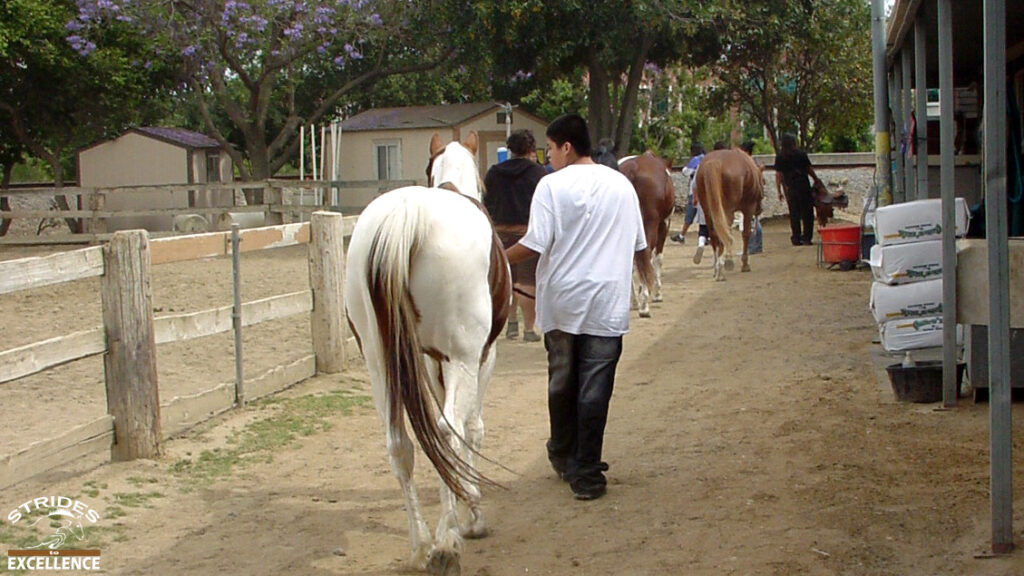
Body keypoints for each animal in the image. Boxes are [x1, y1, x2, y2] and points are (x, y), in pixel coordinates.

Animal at [342, 131, 509, 573]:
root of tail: (406, 214)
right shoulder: (480, 358)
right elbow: (472, 428)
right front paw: (472, 513)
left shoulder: (434, 361)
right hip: (463, 358)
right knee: (447, 431)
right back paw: (447, 541)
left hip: (378, 363)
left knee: (399, 443)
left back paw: (420, 545)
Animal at [618, 150, 675, 315]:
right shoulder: (663, 224)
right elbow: (657, 258)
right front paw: (656, 293)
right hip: (651, 223)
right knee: (647, 253)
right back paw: (643, 304)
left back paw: (634, 301)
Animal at [692, 147, 765, 280]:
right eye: (764, 181)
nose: (759, 210)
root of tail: (714, 162)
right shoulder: (748, 208)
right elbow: (745, 234)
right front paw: (744, 264)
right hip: (727, 210)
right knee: (724, 233)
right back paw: (722, 267)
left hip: (707, 210)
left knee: (714, 234)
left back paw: (717, 267)